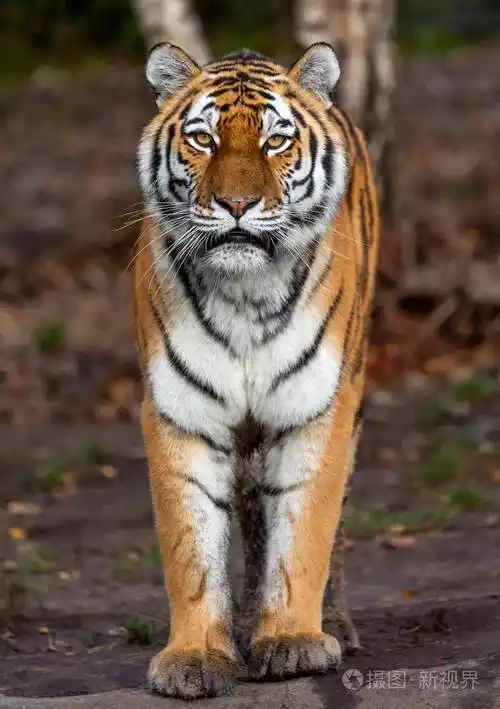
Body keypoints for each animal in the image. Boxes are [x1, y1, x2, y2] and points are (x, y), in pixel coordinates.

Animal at [133, 41, 379, 699]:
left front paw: (293, 641)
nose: (237, 205)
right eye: (203, 139)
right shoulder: (180, 413)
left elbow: (306, 529)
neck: (245, 294)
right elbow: (190, 545)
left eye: (274, 142)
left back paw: (333, 624)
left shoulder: (318, 408)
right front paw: (194, 656)